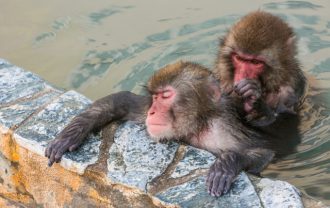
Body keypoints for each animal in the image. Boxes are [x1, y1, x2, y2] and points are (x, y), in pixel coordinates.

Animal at [45, 61, 276, 197]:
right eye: (155, 97)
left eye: (166, 96)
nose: (153, 112)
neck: (196, 124)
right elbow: (123, 100)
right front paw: (70, 135)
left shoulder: (225, 130)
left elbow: (262, 153)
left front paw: (225, 165)